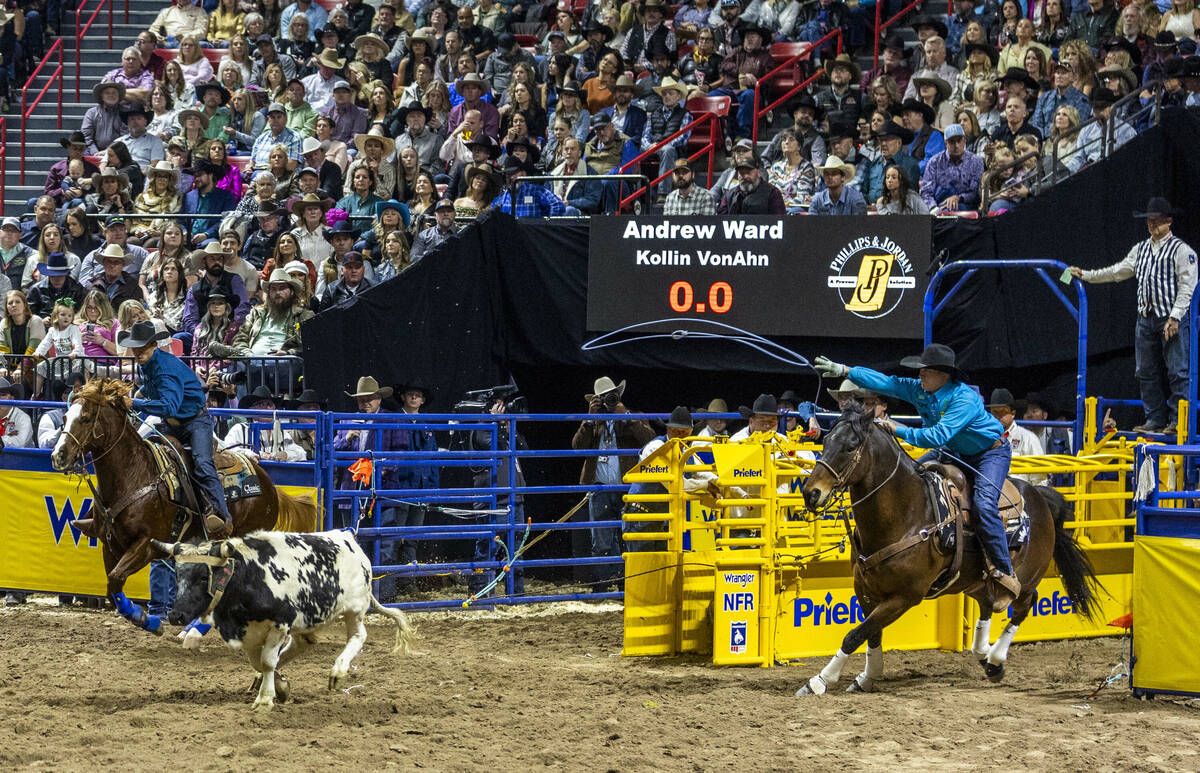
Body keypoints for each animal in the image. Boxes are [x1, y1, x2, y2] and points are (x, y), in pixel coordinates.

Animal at [48, 379, 319, 633]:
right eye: (65, 418)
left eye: (85, 418)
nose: (58, 455)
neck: (135, 474)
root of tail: (268, 483)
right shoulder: (111, 545)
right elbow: (113, 588)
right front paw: (147, 620)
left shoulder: (146, 544)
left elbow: (116, 578)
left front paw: (149, 620)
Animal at [152, 528, 415, 710]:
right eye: (177, 576)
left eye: (201, 577)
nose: (176, 615)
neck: (250, 576)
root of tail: (349, 538)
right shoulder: (249, 631)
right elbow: (259, 662)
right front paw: (279, 685)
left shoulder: (280, 622)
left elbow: (267, 661)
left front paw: (265, 699)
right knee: (304, 643)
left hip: (355, 609)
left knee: (358, 636)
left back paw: (338, 671)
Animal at [796, 405, 1099, 696]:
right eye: (825, 442)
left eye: (850, 446)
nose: (811, 493)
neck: (908, 513)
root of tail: (1041, 498)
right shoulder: (866, 589)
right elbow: (871, 633)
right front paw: (867, 677)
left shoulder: (906, 596)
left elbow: (856, 634)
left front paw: (819, 681)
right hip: (975, 580)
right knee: (988, 604)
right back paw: (984, 654)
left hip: (1026, 578)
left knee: (1024, 605)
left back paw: (996, 659)